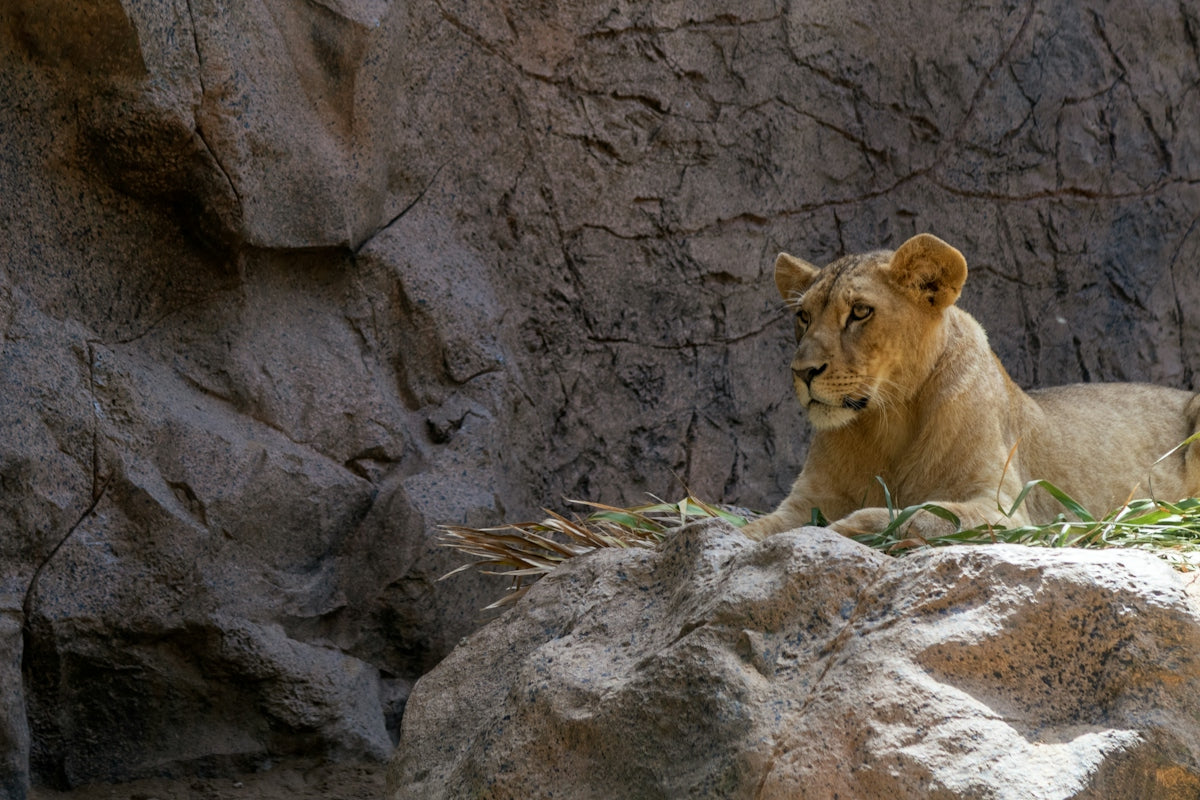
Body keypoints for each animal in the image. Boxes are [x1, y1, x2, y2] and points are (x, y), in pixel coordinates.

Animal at [742, 233, 1200, 541]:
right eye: (803, 316)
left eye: (859, 312)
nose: (802, 371)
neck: (885, 423)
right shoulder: (805, 501)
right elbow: (753, 529)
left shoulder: (1006, 512)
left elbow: (916, 514)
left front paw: (845, 527)